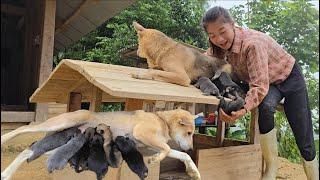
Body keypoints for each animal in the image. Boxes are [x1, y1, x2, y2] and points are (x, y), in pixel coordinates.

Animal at [0, 108, 200, 180]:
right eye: (189, 133)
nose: (192, 147)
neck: (162, 120)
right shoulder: (142, 134)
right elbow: (167, 148)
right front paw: (155, 160)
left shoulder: (149, 145)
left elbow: (181, 154)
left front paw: (194, 171)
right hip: (58, 122)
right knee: (25, 128)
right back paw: (4, 139)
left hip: (59, 145)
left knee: (27, 151)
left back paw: (5, 174)